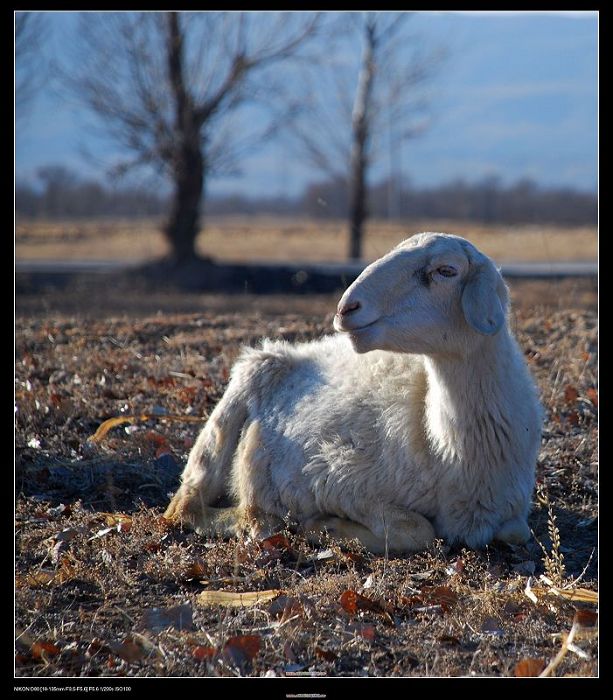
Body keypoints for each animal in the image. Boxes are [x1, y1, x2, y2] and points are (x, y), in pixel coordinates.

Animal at [165, 234, 544, 552]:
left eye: (445, 271)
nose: (346, 309)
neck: (445, 448)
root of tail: (305, 348)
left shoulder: (511, 509)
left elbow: (516, 531)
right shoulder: (336, 478)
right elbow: (418, 530)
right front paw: (325, 527)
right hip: (240, 394)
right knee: (188, 509)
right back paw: (256, 520)